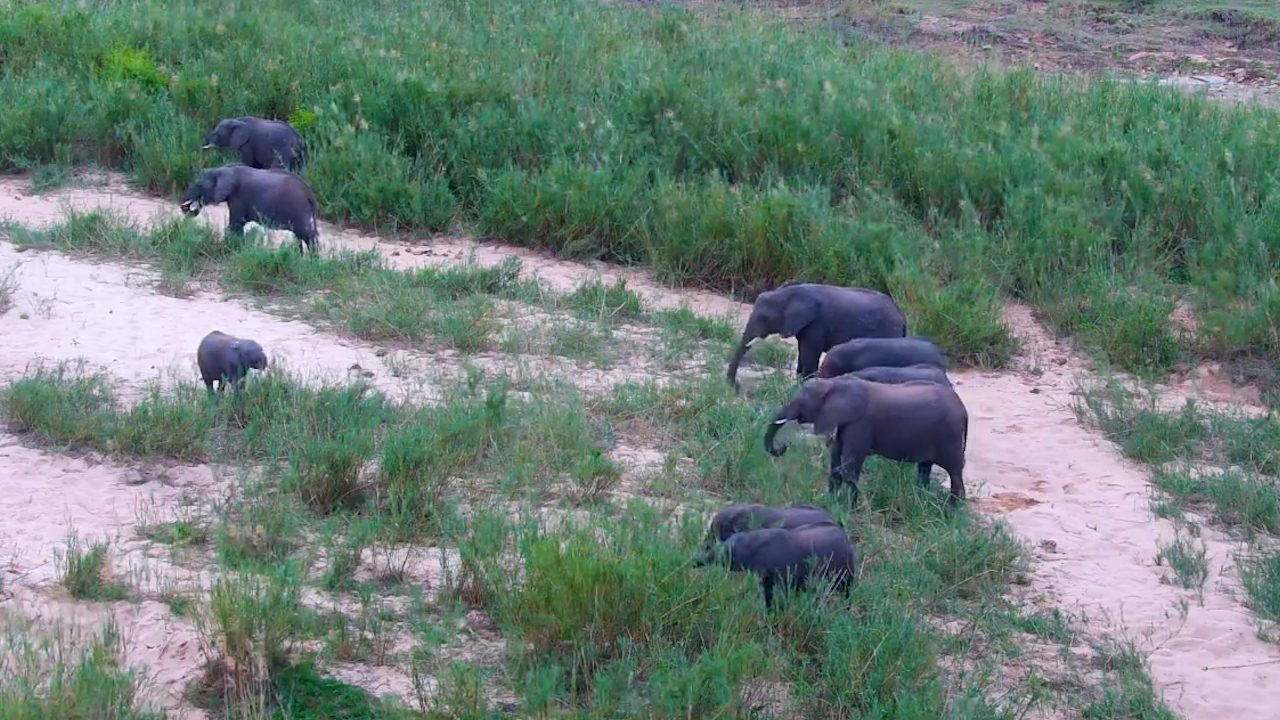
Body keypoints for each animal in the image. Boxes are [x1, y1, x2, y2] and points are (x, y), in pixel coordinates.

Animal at [180, 164, 322, 253]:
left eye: (199, 185)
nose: (185, 208)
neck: (225, 169)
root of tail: (310, 195)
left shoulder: (239, 197)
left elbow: (236, 224)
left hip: (298, 210)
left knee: (307, 235)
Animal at [693, 522, 859, 609]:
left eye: (728, 553)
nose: (696, 560)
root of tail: (846, 540)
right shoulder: (768, 583)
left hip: (845, 580)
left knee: (847, 596)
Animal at [725, 283, 907, 390]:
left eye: (764, 318)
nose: (736, 386)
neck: (787, 293)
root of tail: (902, 317)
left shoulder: (817, 323)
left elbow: (809, 355)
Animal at [764, 376, 969, 506]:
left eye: (801, 403)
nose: (782, 447)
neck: (835, 383)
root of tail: (963, 410)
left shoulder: (860, 424)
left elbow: (849, 466)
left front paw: (851, 507)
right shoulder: (843, 422)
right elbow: (835, 464)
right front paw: (830, 502)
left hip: (950, 435)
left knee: (954, 471)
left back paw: (953, 510)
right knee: (925, 468)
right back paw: (921, 500)